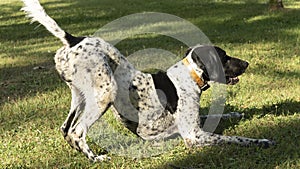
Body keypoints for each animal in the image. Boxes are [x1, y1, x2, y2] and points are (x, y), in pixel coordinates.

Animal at [21, 0, 274, 162]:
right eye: (225, 57)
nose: (247, 63)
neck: (188, 76)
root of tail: (73, 39)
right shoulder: (194, 135)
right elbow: (237, 138)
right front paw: (262, 140)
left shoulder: (192, 124)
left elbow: (220, 115)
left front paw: (237, 113)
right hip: (105, 93)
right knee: (77, 131)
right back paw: (96, 158)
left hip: (80, 96)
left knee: (65, 128)